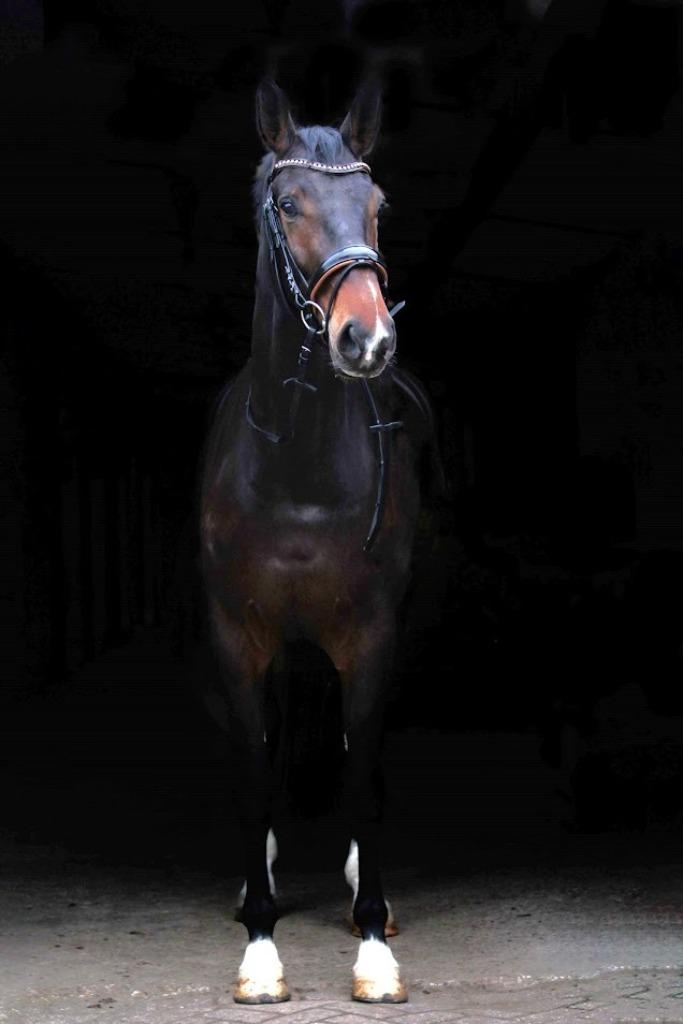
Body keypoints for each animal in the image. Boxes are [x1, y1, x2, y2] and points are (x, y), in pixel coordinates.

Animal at [199, 78, 437, 1004]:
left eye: (376, 205)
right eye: (288, 203)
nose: (365, 339)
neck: (294, 460)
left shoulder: (369, 635)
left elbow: (360, 769)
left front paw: (372, 947)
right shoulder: (238, 638)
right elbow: (252, 772)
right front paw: (261, 948)